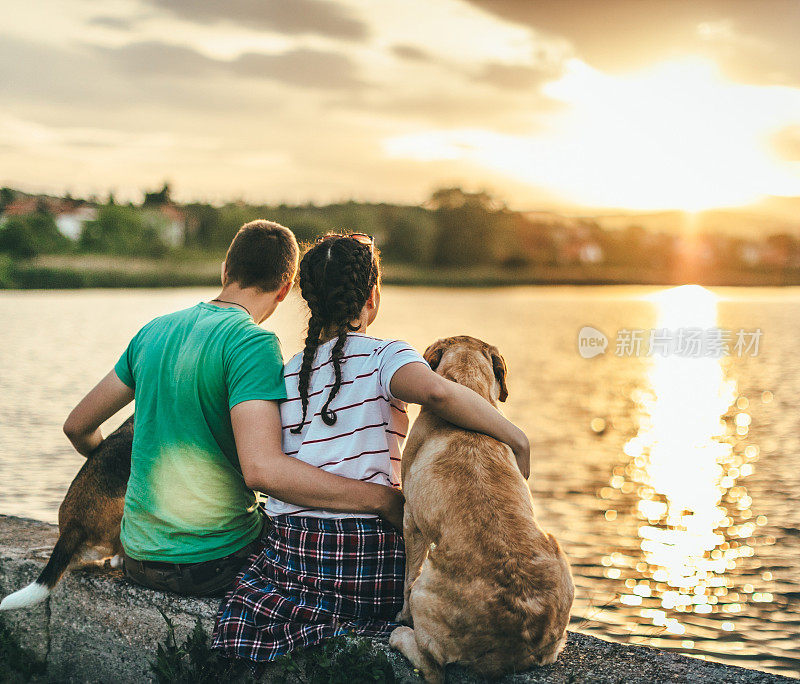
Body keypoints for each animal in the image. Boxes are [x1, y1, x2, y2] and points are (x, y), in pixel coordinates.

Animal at [390, 338, 572, 684]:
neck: (468, 385)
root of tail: (518, 634)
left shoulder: (412, 521)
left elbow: (407, 575)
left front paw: (401, 616)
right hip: (557, 553)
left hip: (425, 590)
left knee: (431, 665)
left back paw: (400, 636)